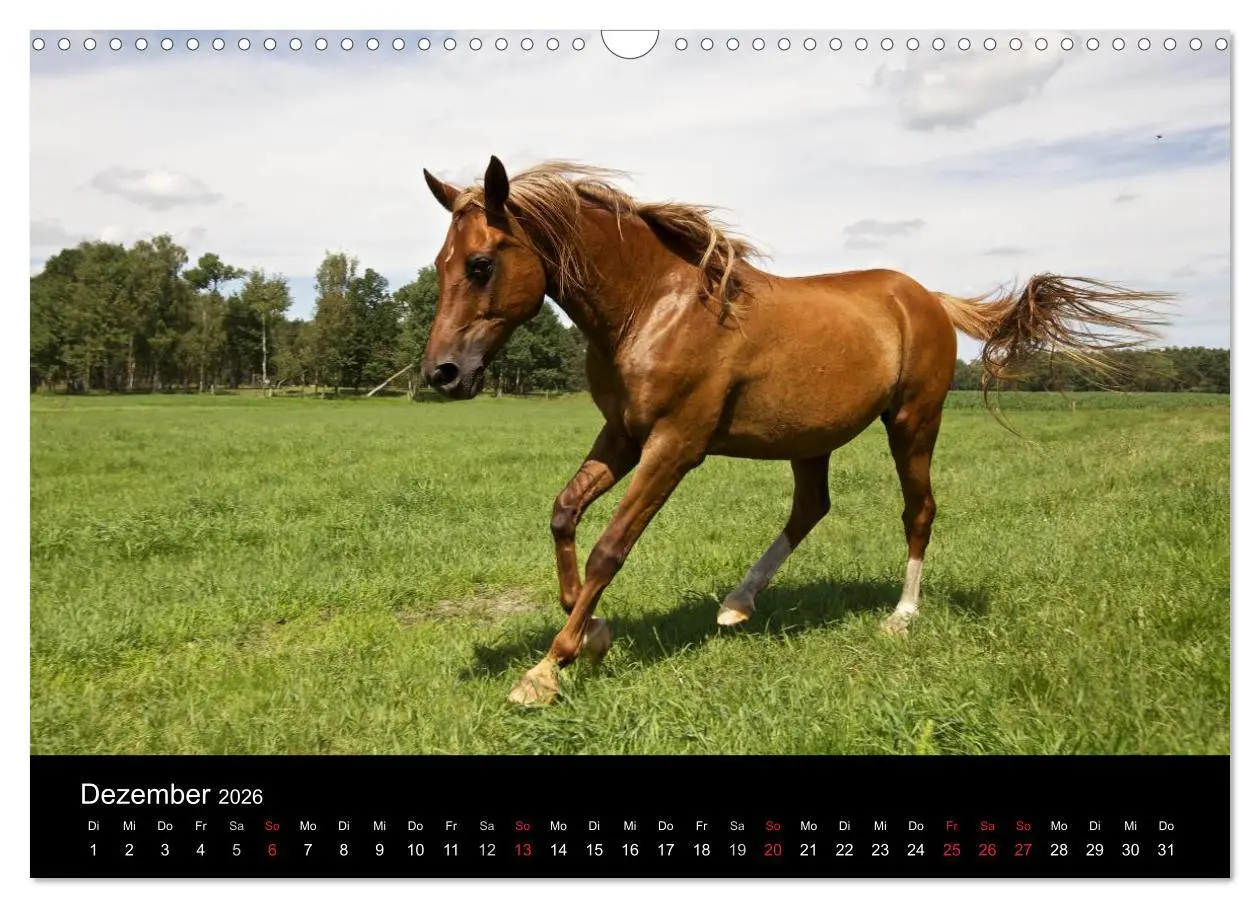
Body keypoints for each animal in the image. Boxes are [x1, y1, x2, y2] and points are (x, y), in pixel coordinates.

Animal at [419, 156, 1168, 706]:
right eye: (437, 265)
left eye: (481, 264)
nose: (442, 374)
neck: (654, 307)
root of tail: (927, 297)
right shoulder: (624, 435)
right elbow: (564, 513)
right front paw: (594, 632)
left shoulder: (674, 446)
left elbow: (610, 548)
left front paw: (547, 669)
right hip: (811, 440)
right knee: (811, 507)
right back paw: (737, 605)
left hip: (912, 422)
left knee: (918, 509)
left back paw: (901, 616)